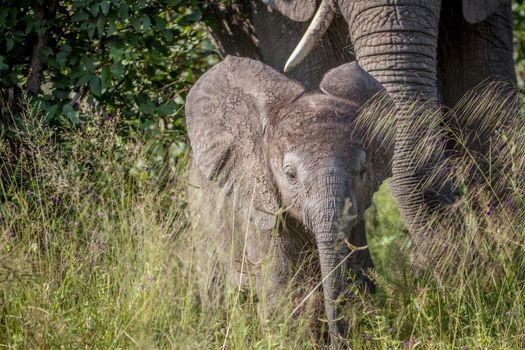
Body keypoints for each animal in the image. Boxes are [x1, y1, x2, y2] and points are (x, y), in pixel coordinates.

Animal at [184, 56, 388, 344]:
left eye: (363, 171)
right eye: (290, 175)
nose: (337, 341)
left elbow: (358, 280)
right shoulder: (259, 210)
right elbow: (283, 296)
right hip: (200, 210)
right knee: (215, 287)